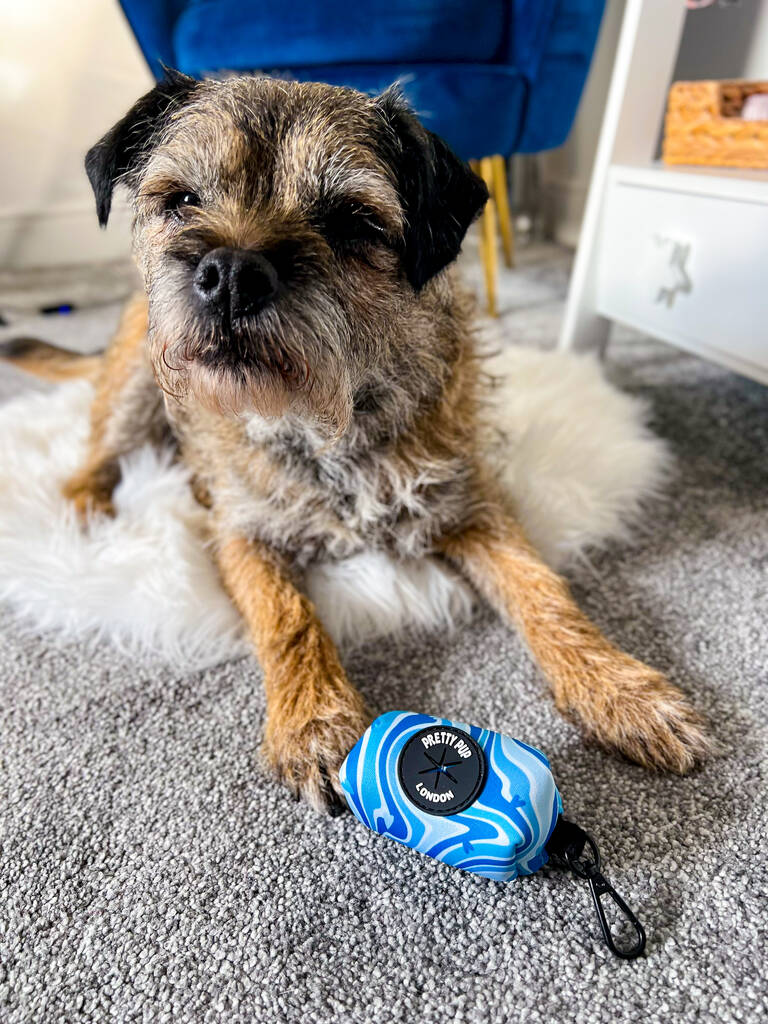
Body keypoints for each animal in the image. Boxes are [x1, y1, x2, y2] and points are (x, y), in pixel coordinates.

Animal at [12, 70, 712, 806]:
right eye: (181, 200)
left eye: (350, 220)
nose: (231, 272)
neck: (330, 419)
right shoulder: (242, 533)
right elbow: (287, 617)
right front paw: (315, 722)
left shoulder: (473, 508)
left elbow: (542, 587)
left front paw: (618, 687)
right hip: (136, 383)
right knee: (96, 456)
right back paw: (86, 511)